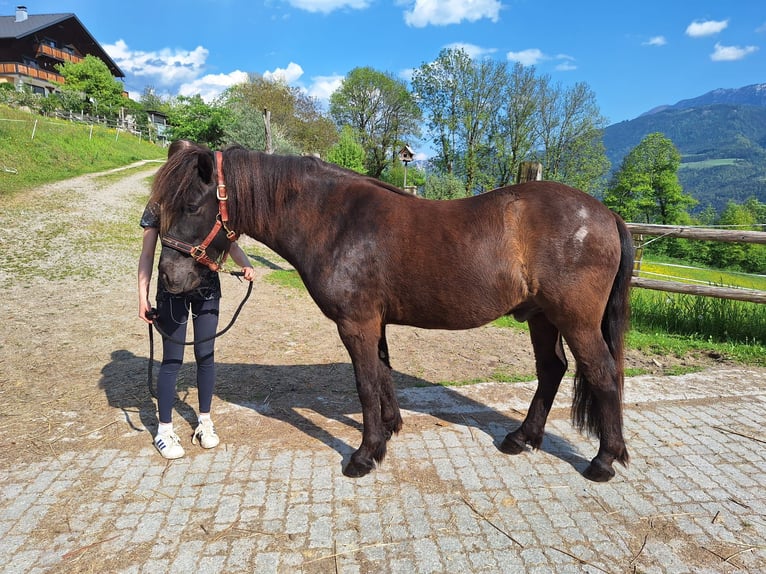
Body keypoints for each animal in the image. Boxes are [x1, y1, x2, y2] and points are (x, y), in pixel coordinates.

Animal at [150, 143, 634, 482]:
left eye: (191, 206)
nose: (170, 279)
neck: (334, 220)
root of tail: (607, 214)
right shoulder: (374, 323)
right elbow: (382, 375)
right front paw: (390, 429)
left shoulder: (356, 323)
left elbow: (365, 384)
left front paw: (365, 455)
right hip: (540, 317)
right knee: (552, 370)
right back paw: (522, 438)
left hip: (574, 320)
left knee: (602, 375)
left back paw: (603, 461)